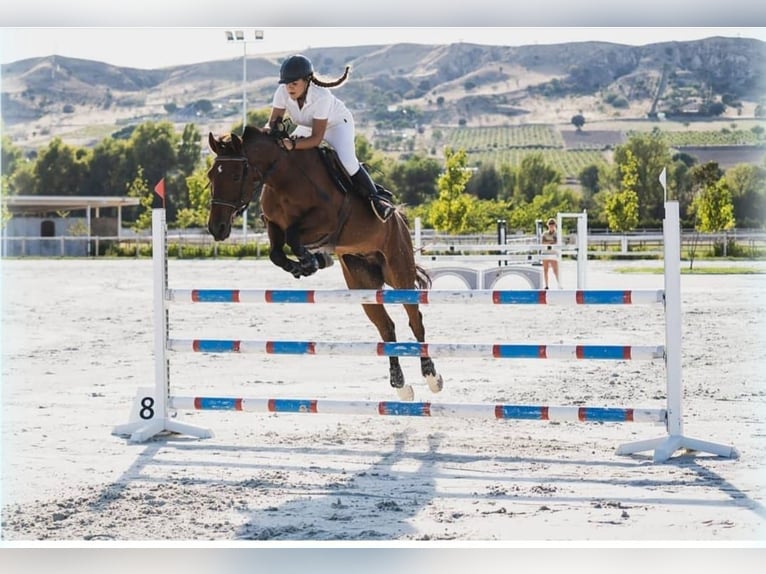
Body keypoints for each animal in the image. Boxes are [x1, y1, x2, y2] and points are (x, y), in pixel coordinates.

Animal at [206, 127, 444, 402]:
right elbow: (277, 252)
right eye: (211, 175)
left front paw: (311, 260)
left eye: (236, 176)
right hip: (363, 284)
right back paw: (401, 385)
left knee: (415, 319)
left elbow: (293, 236)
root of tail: (399, 219)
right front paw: (307, 263)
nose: (217, 228)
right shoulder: (274, 225)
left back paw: (431, 377)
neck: (281, 177)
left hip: (399, 269)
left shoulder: (326, 221)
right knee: (386, 328)